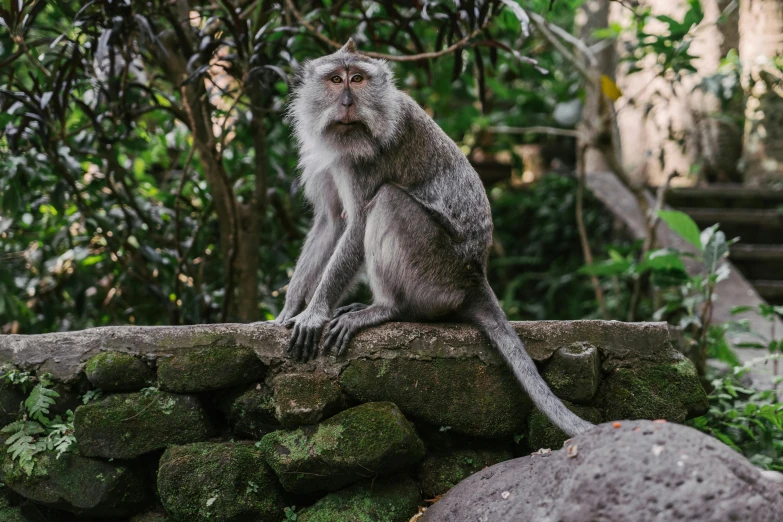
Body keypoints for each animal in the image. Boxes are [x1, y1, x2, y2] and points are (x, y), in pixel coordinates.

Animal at [276, 38, 596, 434]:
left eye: (358, 79)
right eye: (336, 79)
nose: (348, 102)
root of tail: (475, 277)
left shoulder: (366, 158)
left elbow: (358, 223)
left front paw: (314, 313)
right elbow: (330, 223)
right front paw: (290, 309)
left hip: (434, 270)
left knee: (389, 199)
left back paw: (385, 308)